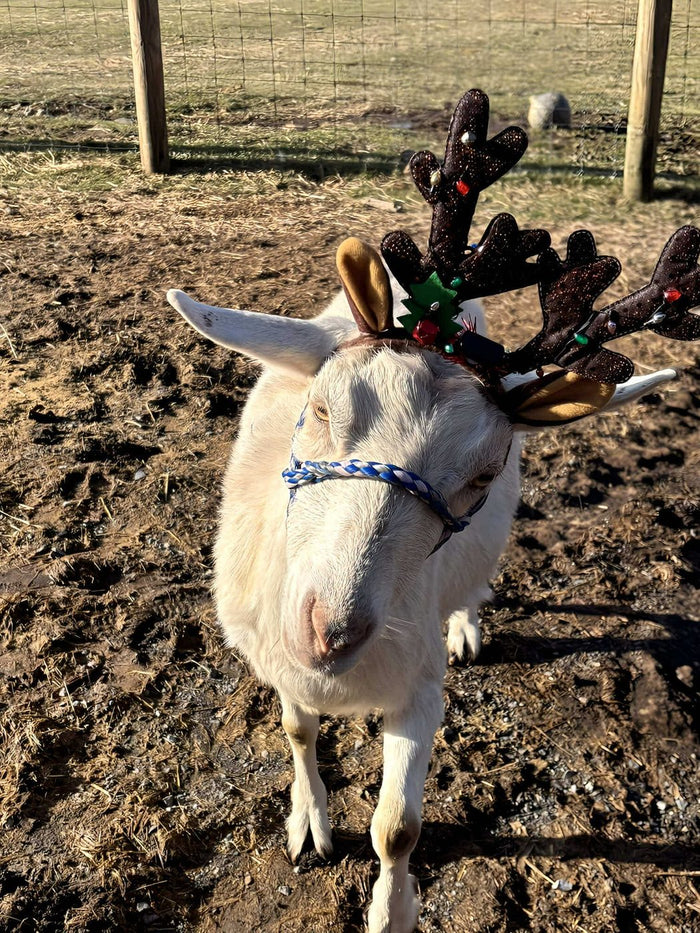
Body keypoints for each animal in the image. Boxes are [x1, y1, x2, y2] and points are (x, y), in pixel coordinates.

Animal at [167, 90, 700, 932]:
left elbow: (398, 827)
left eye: (483, 472)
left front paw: (391, 911)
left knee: (473, 585)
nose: (329, 629)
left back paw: (467, 625)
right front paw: (308, 825)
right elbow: (295, 728)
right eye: (321, 408)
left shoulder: (417, 688)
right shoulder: (280, 660)